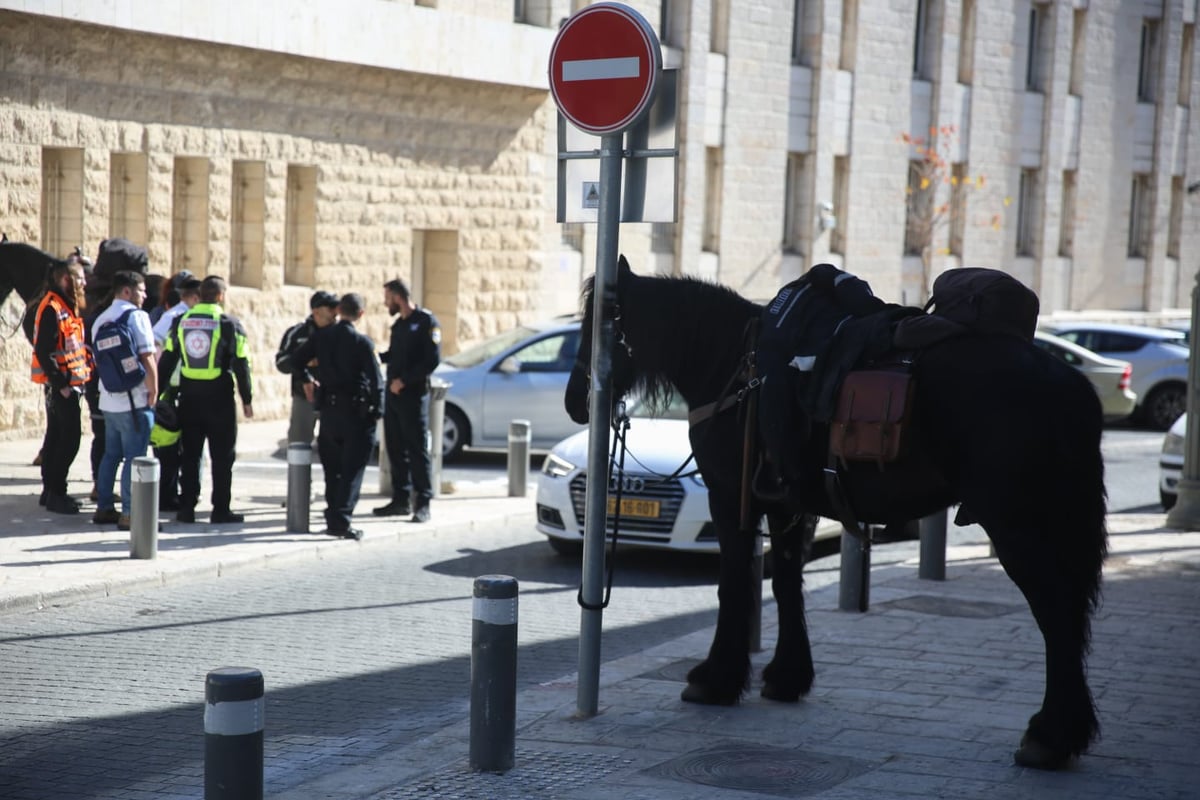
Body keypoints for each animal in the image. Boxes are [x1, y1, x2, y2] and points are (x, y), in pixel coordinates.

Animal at [566, 256, 1108, 767]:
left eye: (598, 323)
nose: (576, 401)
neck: (735, 368)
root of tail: (1068, 383)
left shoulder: (730, 498)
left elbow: (734, 584)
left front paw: (717, 678)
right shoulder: (788, 504)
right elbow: (786, 584)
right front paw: (787, 676)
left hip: (1016, 522)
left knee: (1056, 611)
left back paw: (1050, 736)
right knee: (1071, 610)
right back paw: (1066, 730)